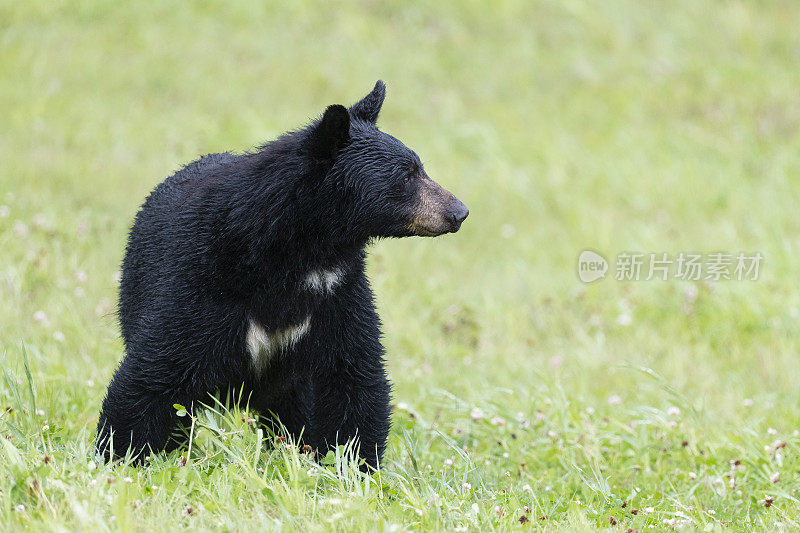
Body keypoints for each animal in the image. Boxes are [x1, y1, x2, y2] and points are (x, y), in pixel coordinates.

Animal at [96, 81, 466, 468]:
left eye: (419, 168)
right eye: (406, 176)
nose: (459, 212)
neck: (301, 257)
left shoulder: (339, 294)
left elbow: (352, 374)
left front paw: (356, 464)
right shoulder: (202, 280)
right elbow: (160, 368)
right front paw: (120, 455)